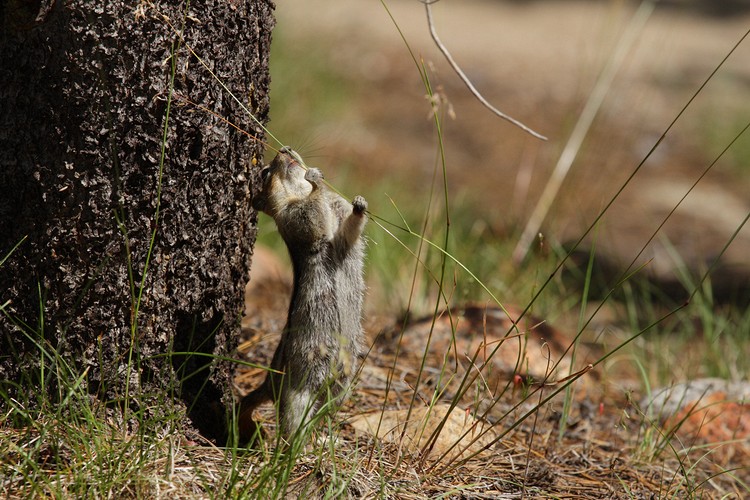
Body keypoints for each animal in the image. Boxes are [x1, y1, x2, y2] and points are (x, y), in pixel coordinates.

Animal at [238, 146, 368, 443]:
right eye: (265, 172)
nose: (284, 149)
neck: (296, 191)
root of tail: (269, 385)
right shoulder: (293, 216)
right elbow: (311, 215)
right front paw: (316, 180)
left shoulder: (339, 227)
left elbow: (349, 231)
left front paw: (359, 203)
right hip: (301, 384)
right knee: (293, 417)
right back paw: (295, 446)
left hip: (342, 389)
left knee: (324, 409)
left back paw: (322, 439)